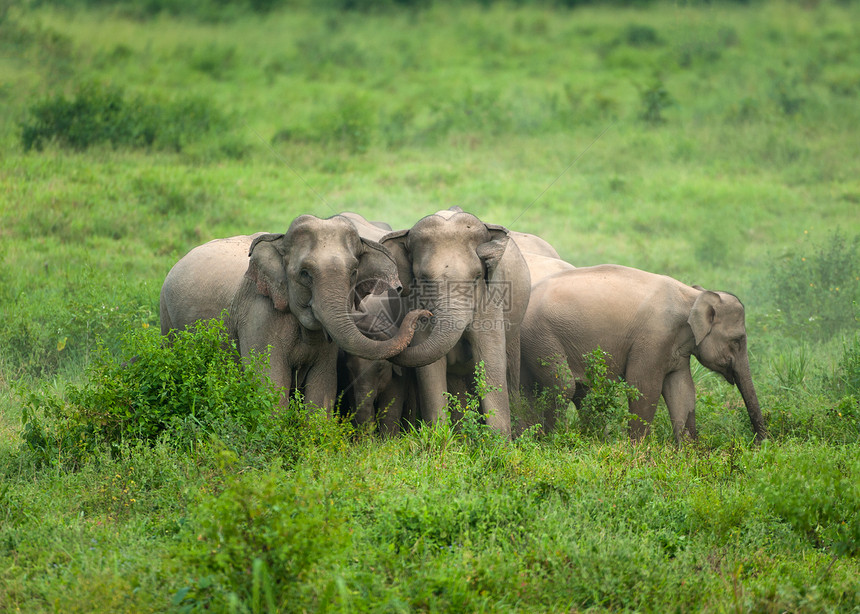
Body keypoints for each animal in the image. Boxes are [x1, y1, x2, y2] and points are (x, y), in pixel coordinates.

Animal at [160, 214, 428, 412]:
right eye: (305, 273)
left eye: (353, 272)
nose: (424, 315)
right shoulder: (258, 316)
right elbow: (270, 382)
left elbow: (322, 386)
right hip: (166, 317)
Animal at [382, 211, 536, 438]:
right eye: (423, 279)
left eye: (478, 276)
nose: (422, 314)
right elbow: (430, 366)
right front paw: (439, 438)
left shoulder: (492, 296)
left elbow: (491, 357)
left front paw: (497, 443)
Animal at [516, 264, 764, 442]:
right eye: (737, 340)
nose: (761, 443)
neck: (692, 295)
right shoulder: (654, 337)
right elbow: (644, 385)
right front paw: (637, 450)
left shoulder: (676, 347)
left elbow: (682, 389)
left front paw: (689, 452)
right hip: (540, 335)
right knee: (564, 386)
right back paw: (553, 440)